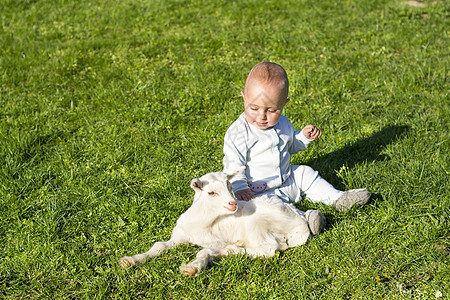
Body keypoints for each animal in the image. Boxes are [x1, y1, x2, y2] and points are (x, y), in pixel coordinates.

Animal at [118, 169, 324, 276]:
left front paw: (192, 268)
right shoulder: (180, 235)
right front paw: (130, 261)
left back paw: (231, 250)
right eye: (211, 192)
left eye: (230, 187)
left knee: (268, 249)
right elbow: (159, 245)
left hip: (262, 223)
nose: (233, 203)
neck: (201, 222)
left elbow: (204, 251)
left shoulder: (216, 240)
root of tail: (302, 222)